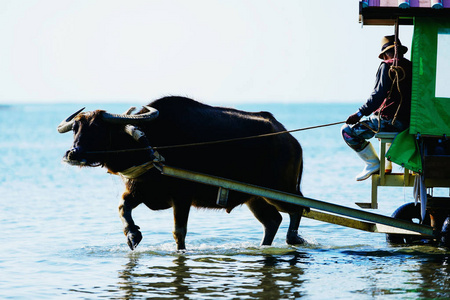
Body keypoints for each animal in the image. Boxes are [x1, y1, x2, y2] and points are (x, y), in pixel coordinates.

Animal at [59, 96, 306, 251]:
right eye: (75, 129)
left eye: (97, 128)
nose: (73, 153)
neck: (150, 145)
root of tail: (291, 140)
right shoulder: (139, 191)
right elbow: (122, 207)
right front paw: (133, 235)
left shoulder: (182, 197)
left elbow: (179, 232)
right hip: (254, 198)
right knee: (272, 221)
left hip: (279, 190)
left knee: (298, 207)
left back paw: (293, 238)